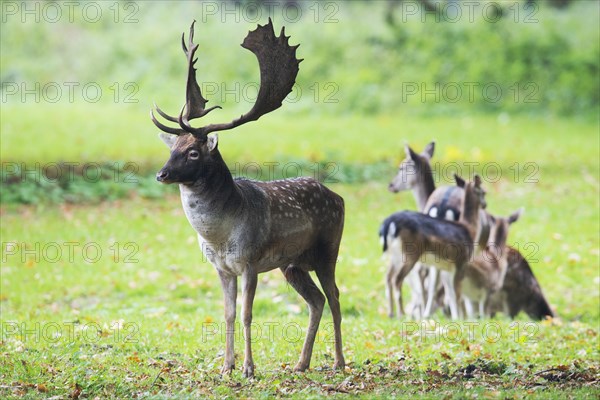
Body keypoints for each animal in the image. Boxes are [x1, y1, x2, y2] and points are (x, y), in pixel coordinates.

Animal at [152, 19, 344, 378]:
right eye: (173, 148)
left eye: (194, 152)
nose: (162, 174)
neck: (219, 235)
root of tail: (339, 197)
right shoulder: (221, 268)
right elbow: (227, 313)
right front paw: (226, 367)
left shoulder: (250, 261)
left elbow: (246, 314)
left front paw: (248, 368)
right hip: (292, 264)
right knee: (317, 301)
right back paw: (301, 363)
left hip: (329, 249)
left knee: (336, 296)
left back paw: (339, 360)